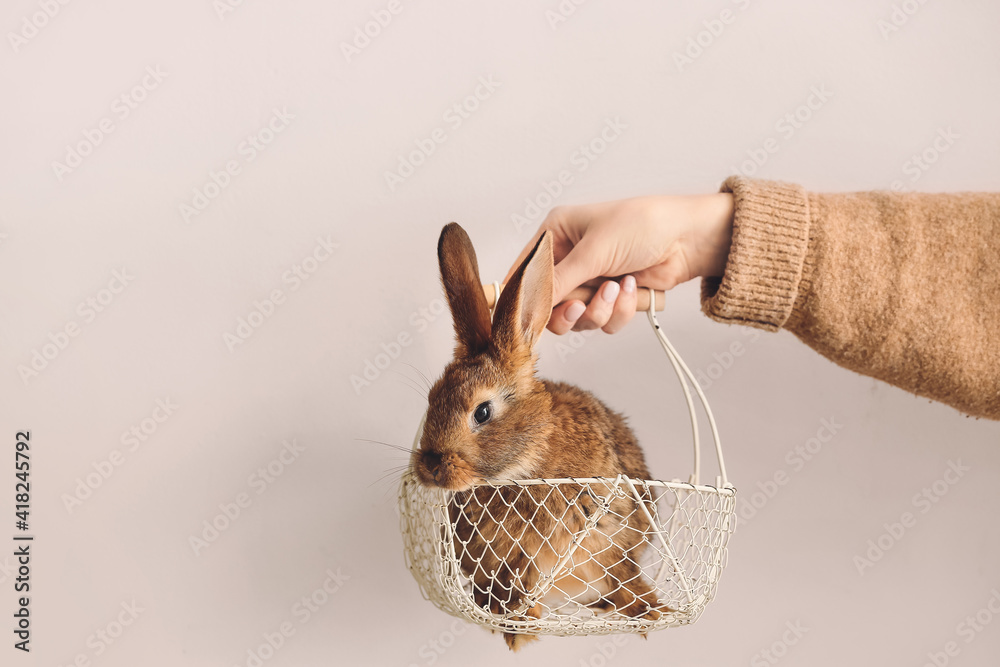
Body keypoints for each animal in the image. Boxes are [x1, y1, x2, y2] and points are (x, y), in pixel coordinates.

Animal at [410, 222, 668, 648]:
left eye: (482, 412)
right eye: (432, 398)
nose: (430, 467)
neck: (524, 466)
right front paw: (519, 630)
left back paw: (646, 611)